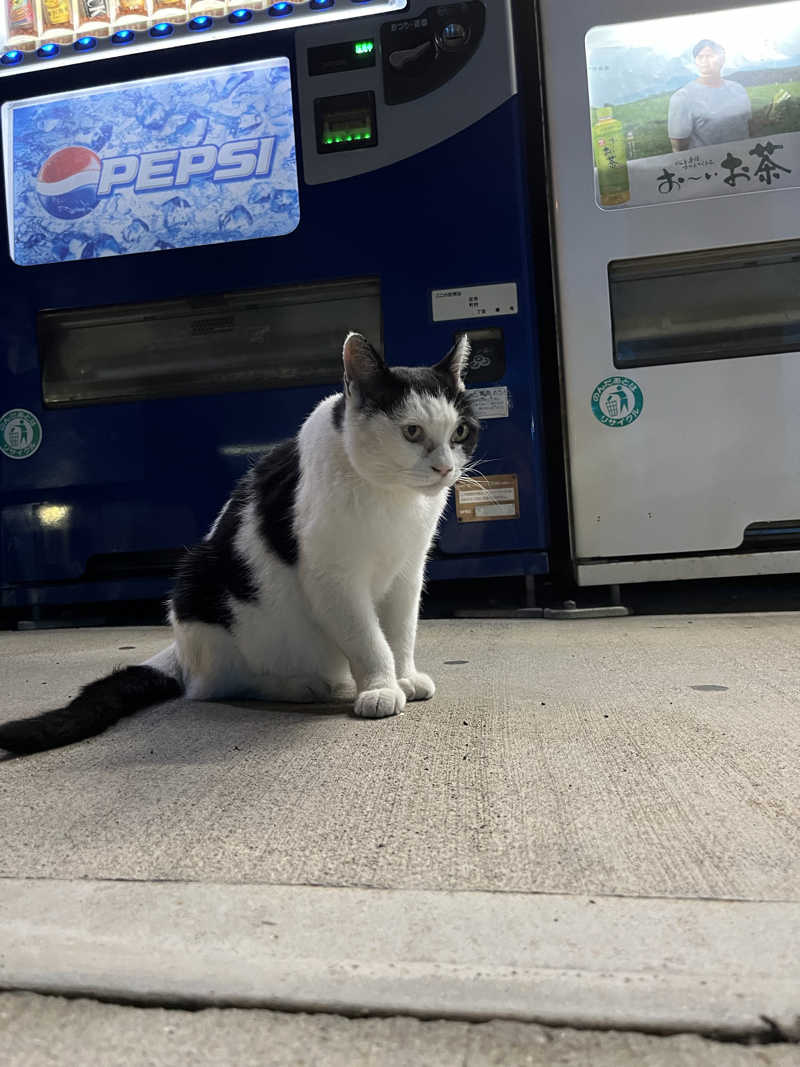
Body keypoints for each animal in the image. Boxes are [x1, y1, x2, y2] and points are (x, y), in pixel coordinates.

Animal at [0, 328, 480, 755]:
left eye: (460, 432)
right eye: (412, 432)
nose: (444, 469)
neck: (392, 498)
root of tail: (179, 649)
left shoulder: (408, 572)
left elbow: (400, 632)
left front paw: (404, 676)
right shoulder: (333, 578)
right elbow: (367, 637)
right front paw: (380, 686)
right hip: (197, 586)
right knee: (216, 686)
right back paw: (304, 685)